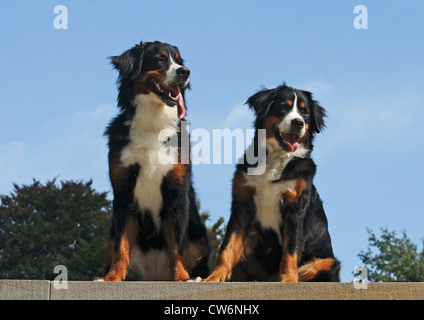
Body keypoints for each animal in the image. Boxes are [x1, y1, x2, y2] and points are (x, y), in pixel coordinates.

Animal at [101, 41, 210, 282]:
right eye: (160, 59)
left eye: (179, 61)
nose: (185, 72)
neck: (153, 123)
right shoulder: (123, 192)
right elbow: (121, 245)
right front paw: (113, 277)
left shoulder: (176, 192)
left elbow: (177, 245)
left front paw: (182, 278)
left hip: (199, 238)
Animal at [205, 84, 342, 282]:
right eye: (283, 106)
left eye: (305, 112)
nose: (298, 123)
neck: (277, 159)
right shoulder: (242, 205)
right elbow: (228, 247)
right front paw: (215, 277)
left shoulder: (295, 207)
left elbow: (290, 250)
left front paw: (288, 279)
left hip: (325, 262)